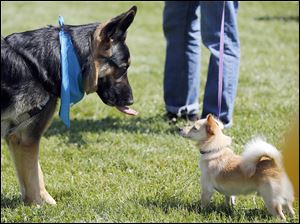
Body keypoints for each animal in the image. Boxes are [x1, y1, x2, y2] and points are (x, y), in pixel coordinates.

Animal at [0, 5, 137, 205]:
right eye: (124, 67)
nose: (131, 101)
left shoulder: (18, 138)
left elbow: (36, 175)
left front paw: (39, 202)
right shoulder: (27, 137)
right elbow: (33, 177)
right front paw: (40, 205)